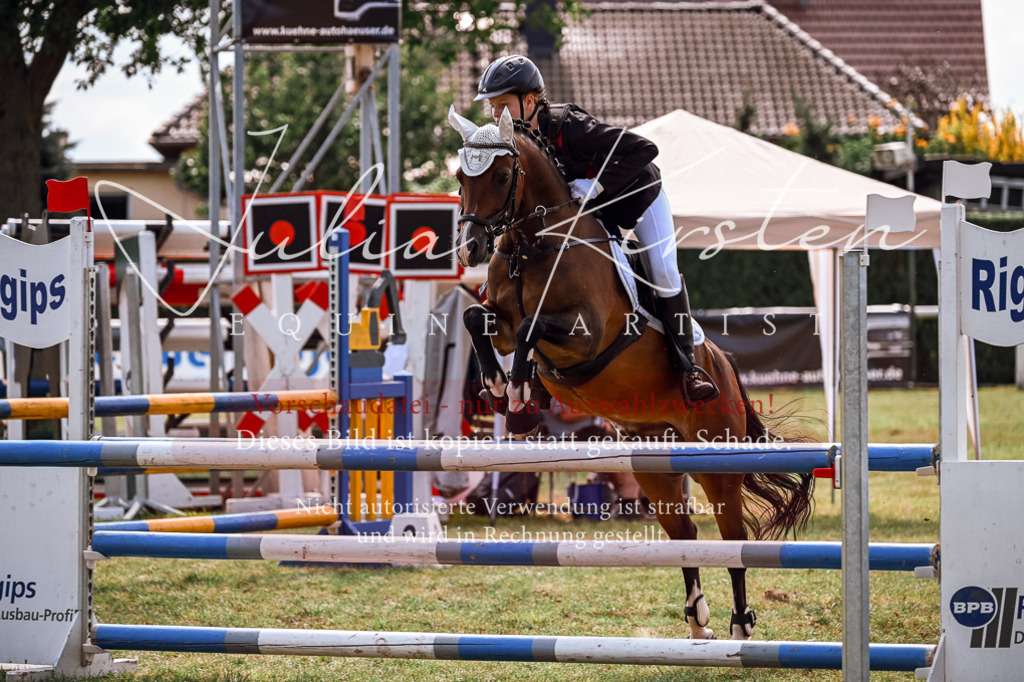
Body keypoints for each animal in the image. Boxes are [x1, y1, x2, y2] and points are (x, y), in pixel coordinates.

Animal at [449, 105, 814, 641]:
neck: (533, 244)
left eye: (500, 175)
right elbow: (477, 317)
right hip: (655, 466)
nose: (471, 249)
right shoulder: (504, 321)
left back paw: (740, 624)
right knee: (686, 534)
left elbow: (534, 329)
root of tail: (723, 367)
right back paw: (697, 622)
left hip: (717, 464)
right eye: (460, 177)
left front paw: (517, 389)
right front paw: (501, 388)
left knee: (733, 538)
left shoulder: (586, 335)